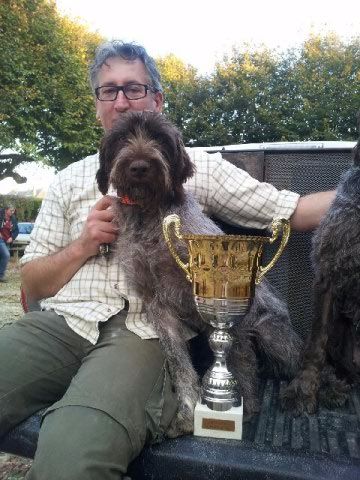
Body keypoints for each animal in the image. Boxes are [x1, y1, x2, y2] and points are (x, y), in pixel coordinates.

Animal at [97, 111, 302, 436]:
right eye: (121, 138)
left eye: (160, 138)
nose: (139, 166)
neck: (148, 216)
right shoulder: (157, 305)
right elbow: (179, 361)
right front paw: (187, 410)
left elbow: (240, 359)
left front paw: (246, 406)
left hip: (271, 332)